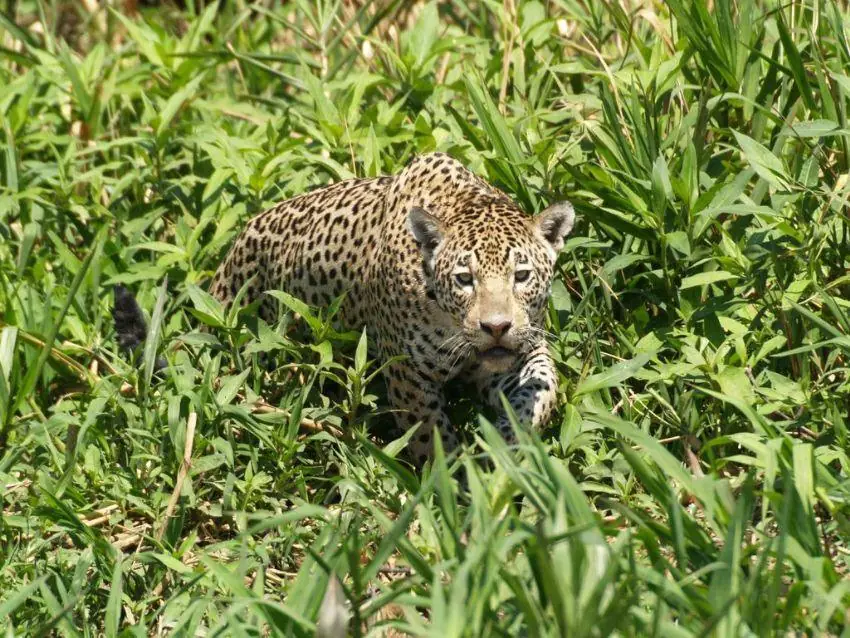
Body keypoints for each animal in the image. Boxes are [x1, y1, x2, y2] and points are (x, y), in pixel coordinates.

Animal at [208, 152, 576, 465]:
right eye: (464, 279)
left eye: (522, 275)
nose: (496, 328)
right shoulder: (407, 374)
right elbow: (432, 440)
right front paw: (455, 487)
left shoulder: (525, 349)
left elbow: (543, 390)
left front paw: (503, 442)